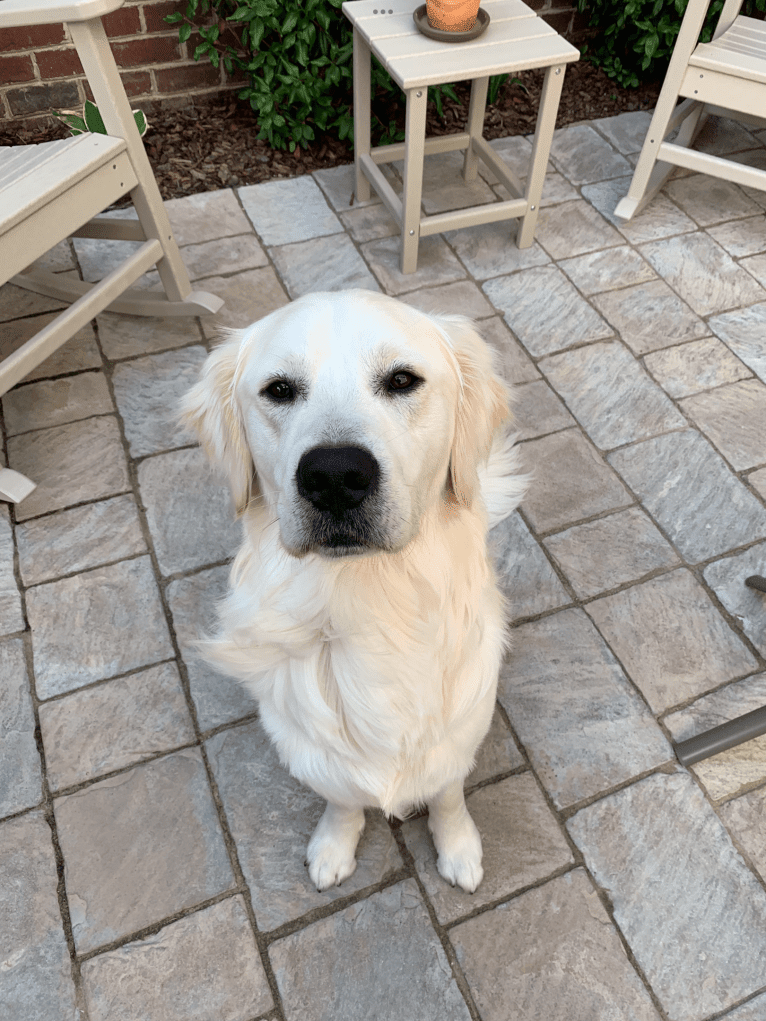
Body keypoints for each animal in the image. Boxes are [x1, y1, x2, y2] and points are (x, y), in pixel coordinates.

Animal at [181, 289, 527, 894]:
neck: (368, 602)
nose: (335, 476)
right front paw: (333, 846)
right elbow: (342, 799)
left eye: (402, 380)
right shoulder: (311, 746)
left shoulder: (459, 732)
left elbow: (447, 795)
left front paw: (458, 847)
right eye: (279, 389)